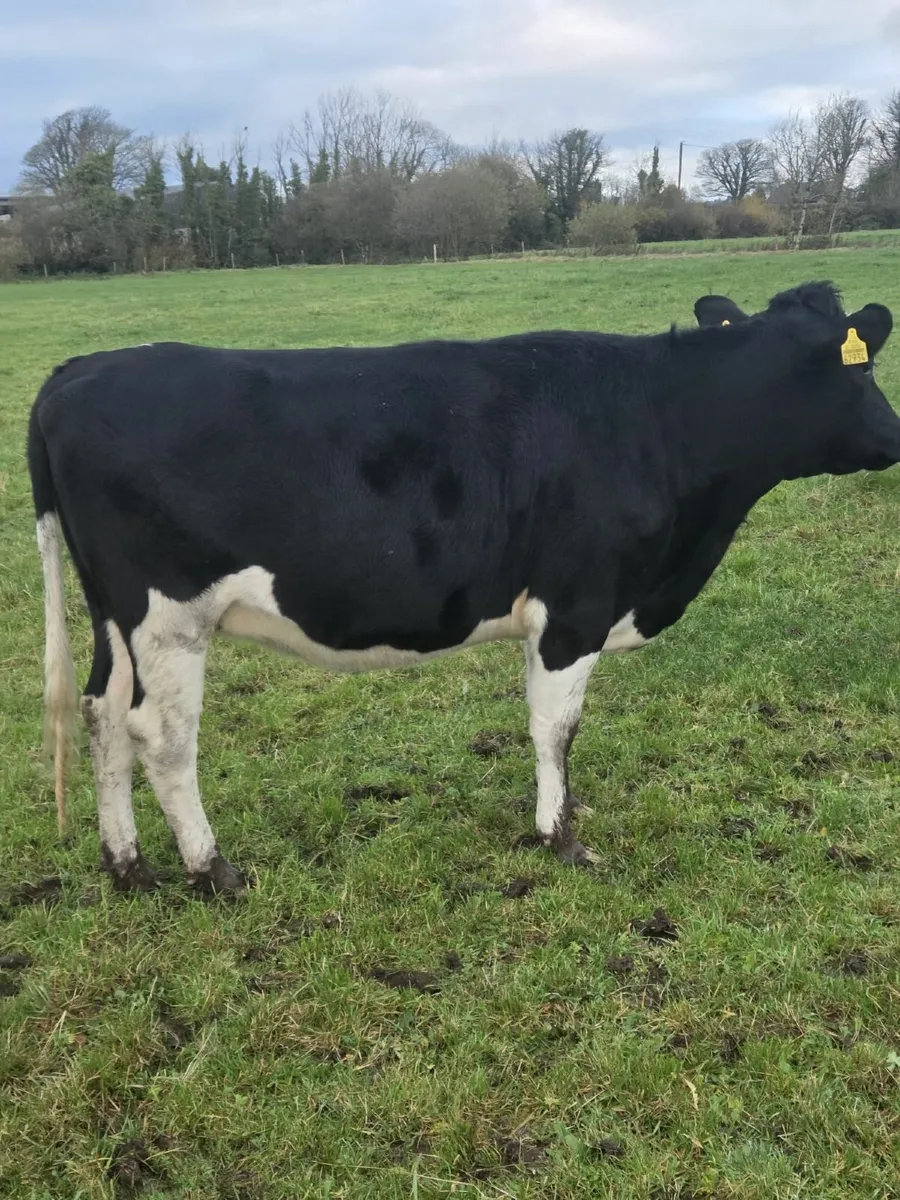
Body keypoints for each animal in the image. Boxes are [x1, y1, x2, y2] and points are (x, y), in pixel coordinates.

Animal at [27, 280, 900, 895]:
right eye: (863, 370)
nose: (896, 437)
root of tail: (81, 370)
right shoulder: (576, 606)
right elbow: (556, 728)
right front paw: (561, 838)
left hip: (113, 617)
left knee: (104, 713)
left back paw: (127, 865)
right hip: (168, 614)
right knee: (162, 736)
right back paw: (211, 870)